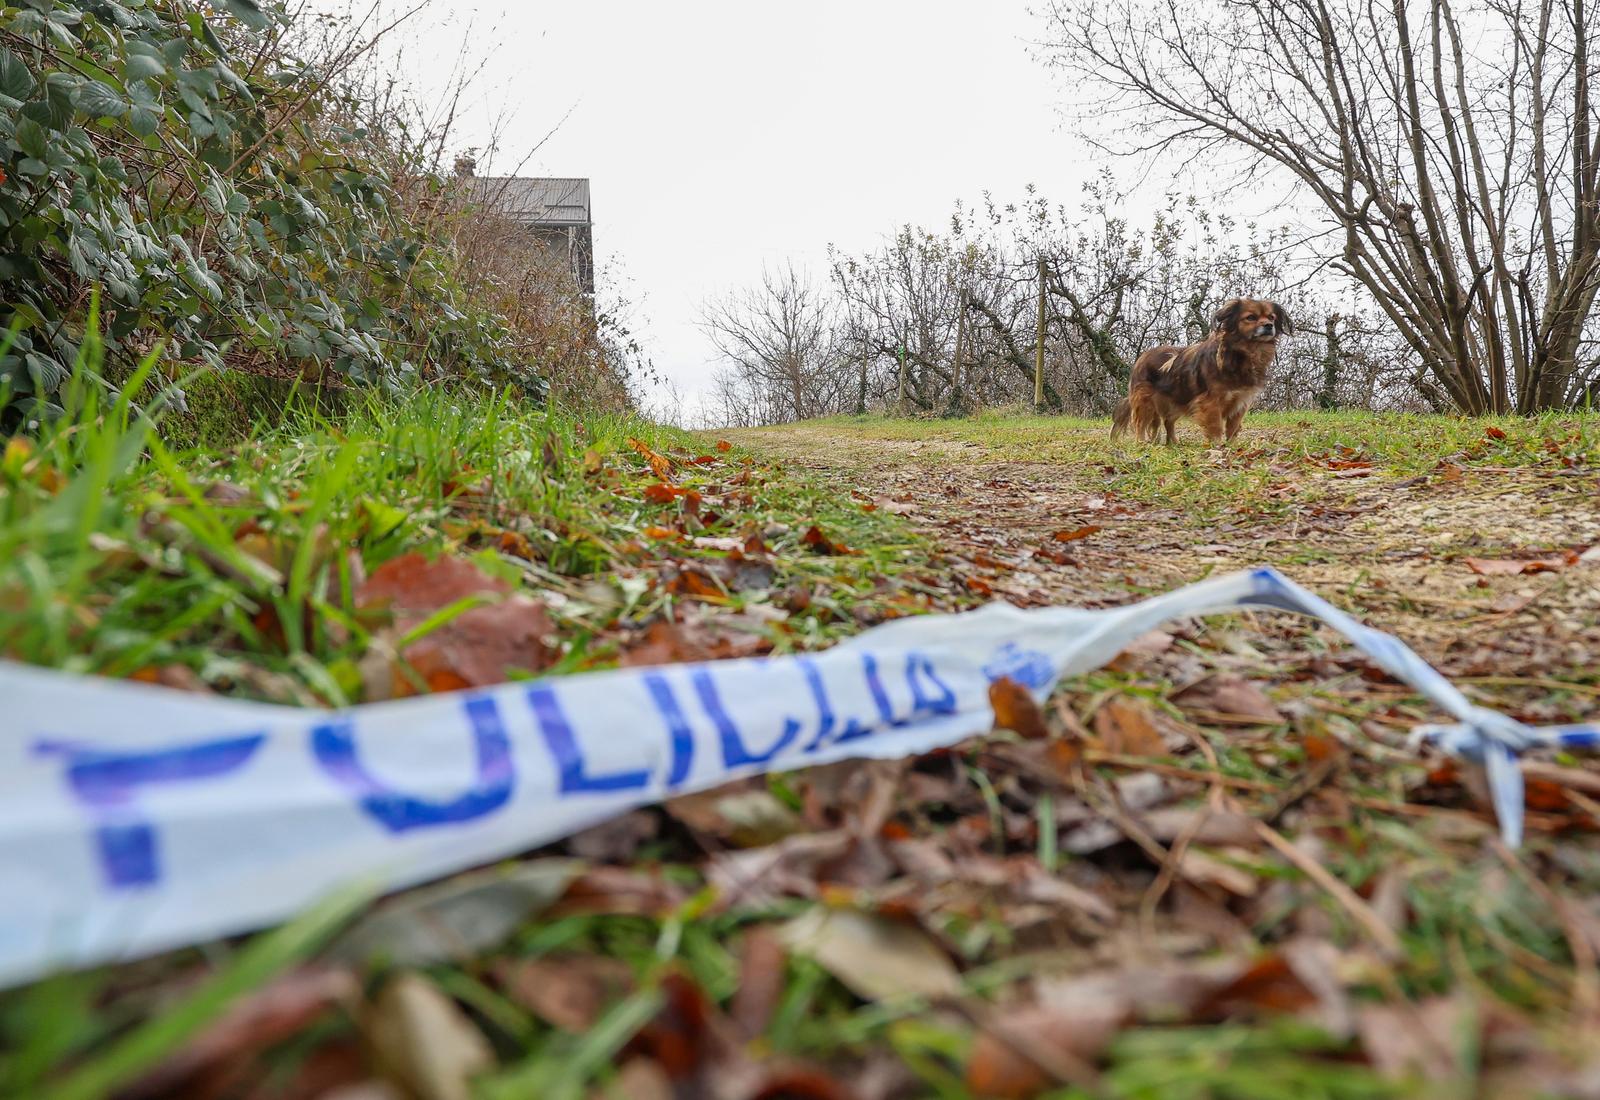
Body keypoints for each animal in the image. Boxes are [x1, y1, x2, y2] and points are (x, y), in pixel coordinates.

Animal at [1120, 298, 1292, 444]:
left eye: (1271, 317)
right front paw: (1217, 445)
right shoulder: (1210, 402)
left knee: (1168, 422)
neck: (1245, 353)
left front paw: (1232, 446)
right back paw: (1141, 443)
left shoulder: (1240, 402)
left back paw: (1174, 443)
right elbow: (1215, 426)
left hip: (1176, 400)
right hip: (1145, 402)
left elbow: (1233, 428)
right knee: (1140, 425)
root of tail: (1142, 357)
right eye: (1251, 317)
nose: (1269, 325)